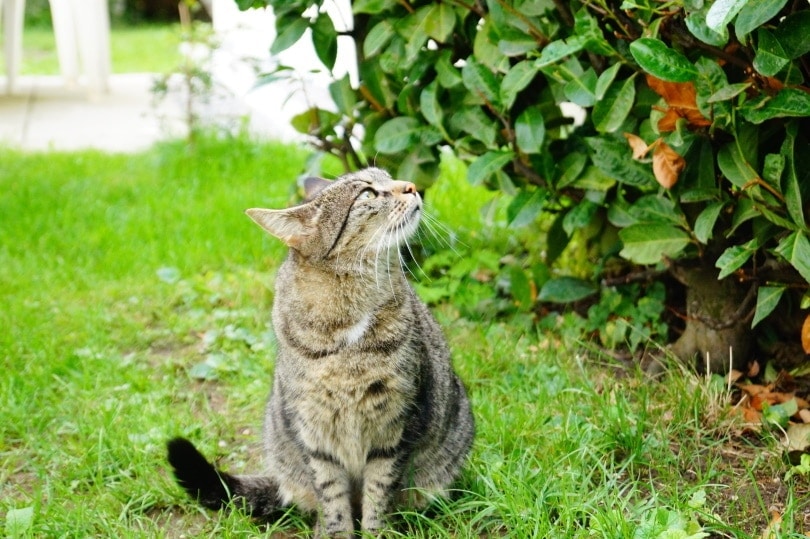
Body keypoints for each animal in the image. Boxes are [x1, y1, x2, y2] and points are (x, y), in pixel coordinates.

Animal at [169, 168, 474, 536]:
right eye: (368, 194)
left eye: (388, 176)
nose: (412, 186)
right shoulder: (314, 435)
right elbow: (332, 498)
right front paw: (336, 532)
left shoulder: (397, 425)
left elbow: (378, 494)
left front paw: (377, 532)